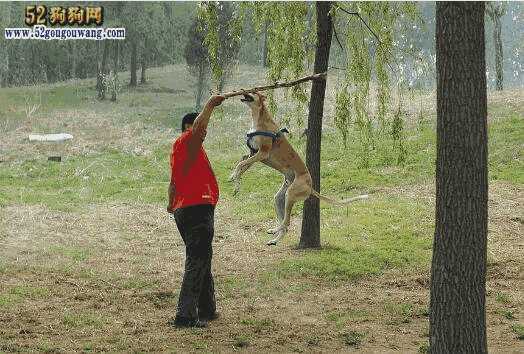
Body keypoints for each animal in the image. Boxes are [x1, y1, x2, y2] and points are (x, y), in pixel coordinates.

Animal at [229, 92, 368, 245]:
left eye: (254, 91)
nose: (242, 92)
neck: (258, 118)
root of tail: (311, 186)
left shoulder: (262, 153)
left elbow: (241, 164)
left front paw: (235, 179)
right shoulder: (253, 153)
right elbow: (242, 163)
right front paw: (235, 180)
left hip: (290, 194)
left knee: (287, 222)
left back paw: (275, 230)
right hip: (280, 198)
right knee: (285, 223)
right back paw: (274, 239)